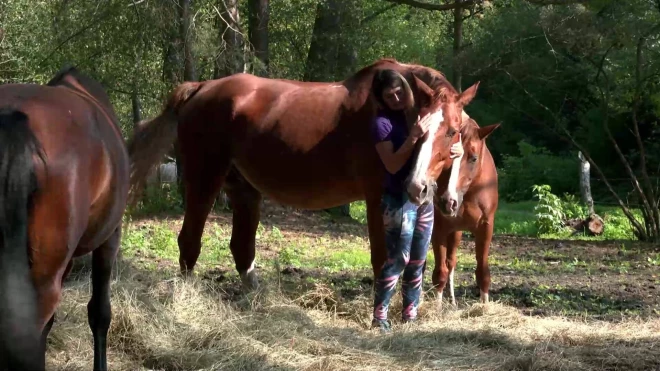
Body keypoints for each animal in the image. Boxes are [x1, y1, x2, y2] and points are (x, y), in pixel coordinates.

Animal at [129, 59, 480, 290]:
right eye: (424, 130)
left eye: (453, 133)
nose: (421, 189)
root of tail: (201, 88)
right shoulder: (376, 198)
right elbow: (383, 259)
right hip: (204, 181)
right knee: (190, 241)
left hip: (243, 189)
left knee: (241, 248)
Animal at [428, 114, 500, 308]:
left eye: (473, 158)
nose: (448, 202)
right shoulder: (439, 228)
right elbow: (440, 273)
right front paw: (436, 308)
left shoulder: (485, 227)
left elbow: (482, 273)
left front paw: (484, 307)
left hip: (456, 232)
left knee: (451, 261)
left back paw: (453, 300)